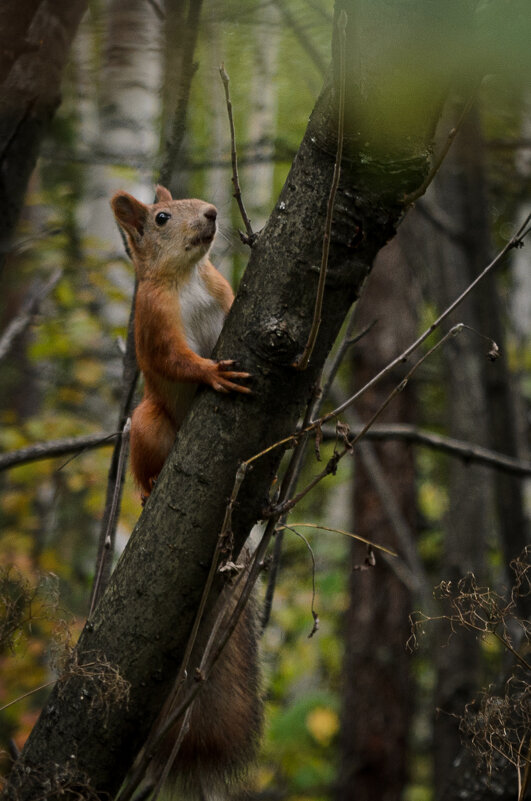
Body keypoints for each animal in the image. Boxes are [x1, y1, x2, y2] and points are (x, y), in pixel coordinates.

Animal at [110, 186, 251, 500]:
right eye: (161, 218)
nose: (211, 212)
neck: (187, 274)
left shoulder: (220, 290)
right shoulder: (154, 318)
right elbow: (170, 358)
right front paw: (212, 372)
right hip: (149, 423)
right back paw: (149, 485)